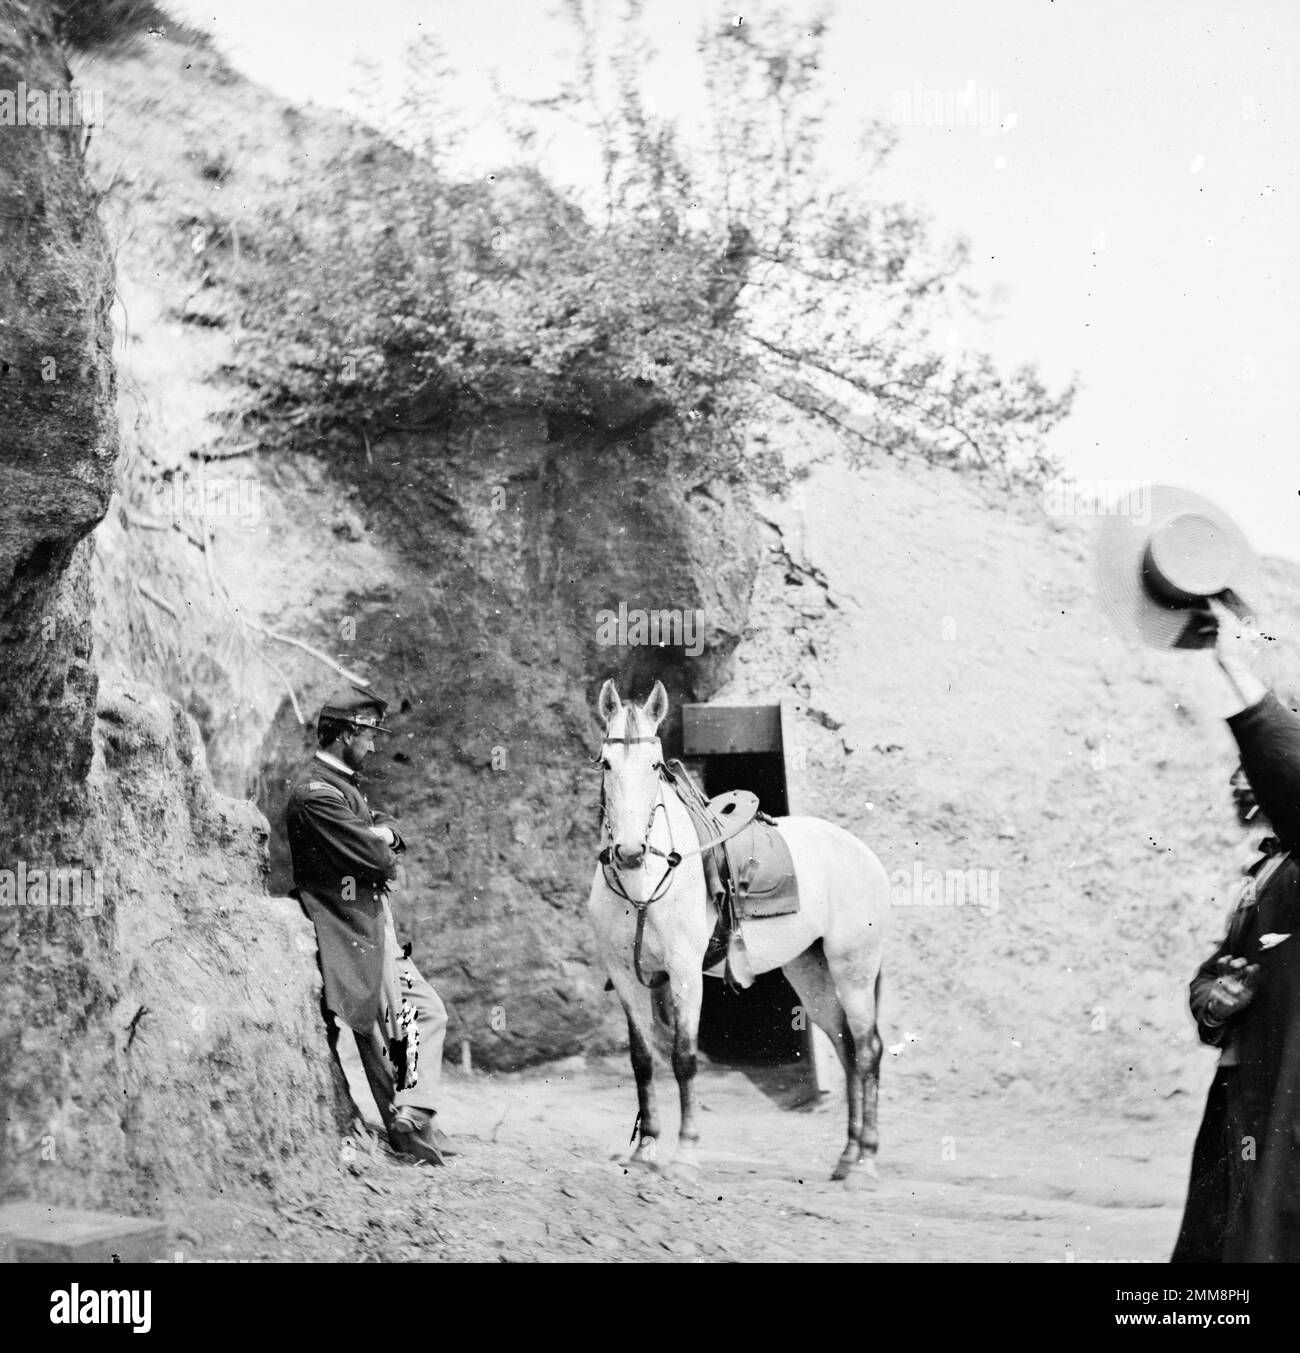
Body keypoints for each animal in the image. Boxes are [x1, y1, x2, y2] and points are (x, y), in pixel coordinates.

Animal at [589, 681, 892, 1179]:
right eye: (607, 763)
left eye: (653, 765)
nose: (629, 852)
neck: (643, 886)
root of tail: (860, 852)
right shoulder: (626, 975)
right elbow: (642, 1060)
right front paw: (645, 1149)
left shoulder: (685, 973)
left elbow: (683, 1057)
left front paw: (686, 1154)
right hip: (810, 973)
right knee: (846, 1047)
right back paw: (847, 1156)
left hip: (854, 970)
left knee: (868, 1049)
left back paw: (865, 1160)